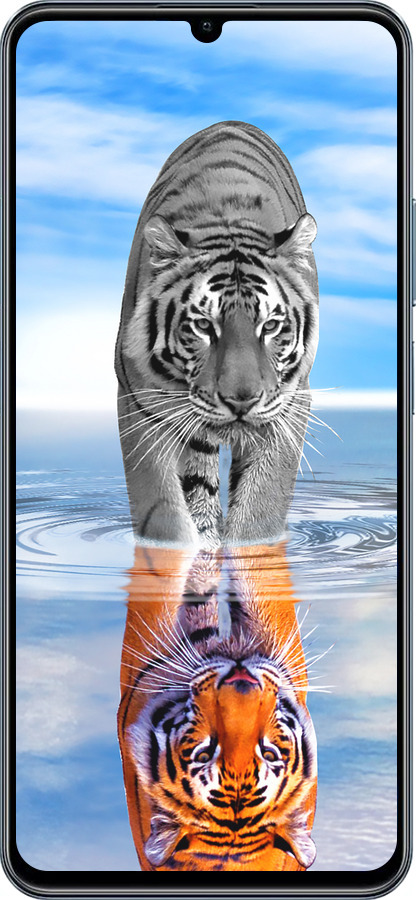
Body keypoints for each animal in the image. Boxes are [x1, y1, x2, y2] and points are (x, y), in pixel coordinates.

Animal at [115, 120, 319, 549]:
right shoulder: (139, 401)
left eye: (270, 326)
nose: (241, 400)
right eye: (204, 326)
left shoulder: (290, 404)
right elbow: (163, 512)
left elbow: (260, 509)